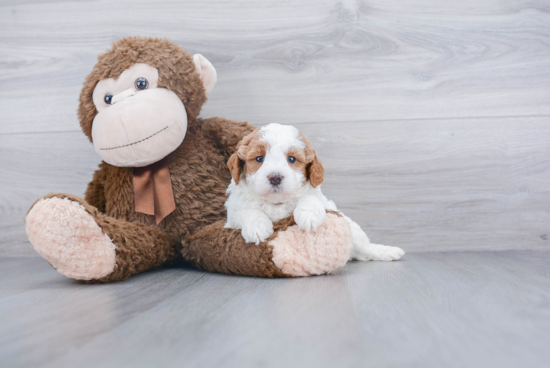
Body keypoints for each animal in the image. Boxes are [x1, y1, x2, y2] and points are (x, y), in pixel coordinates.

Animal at [224, 123, 406, 262]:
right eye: (259, 159)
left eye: (291, 159)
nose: (275, 177)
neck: (277, 203)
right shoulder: (233, 213)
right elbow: (248, 210)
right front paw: (257, 227)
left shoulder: (318, 197)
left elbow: (309, 198)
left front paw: (309, 217)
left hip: (354, 232)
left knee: (365, 250)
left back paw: (387, 252)